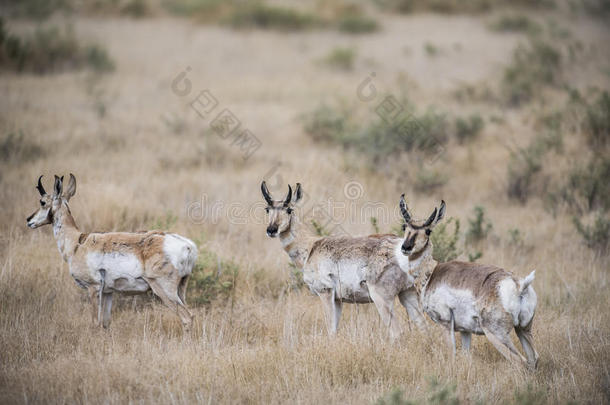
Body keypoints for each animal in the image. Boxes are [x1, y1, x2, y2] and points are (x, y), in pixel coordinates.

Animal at [26, 175, 195, 330]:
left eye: (42, 202)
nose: (29, 220)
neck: (77, 242)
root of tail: (188, 246)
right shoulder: (108, 292)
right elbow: (106, 323)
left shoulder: (93, 288)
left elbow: (95, 323)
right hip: (181, 289)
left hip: (163, 289)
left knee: (187, 317)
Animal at [260, 181, 422, 338]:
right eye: (267, 209)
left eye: (289, 209)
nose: (271, 230)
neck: (311, 247)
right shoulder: (338, 300)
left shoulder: (325, 292)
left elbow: (330, 330)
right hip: (408, 294)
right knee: (423, 325)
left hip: (382, 298)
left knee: (396, 332)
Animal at [394, 196, 536, 370]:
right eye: (404, 227)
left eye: (428, 230)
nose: (406, 247)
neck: (432, 274)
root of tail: (519, 286)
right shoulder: (465, 331)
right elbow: (466, 355)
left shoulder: (446, 324)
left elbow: (452, 355)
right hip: (524, 330)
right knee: (534, 359)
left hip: (496, 335)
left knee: (521, 362)